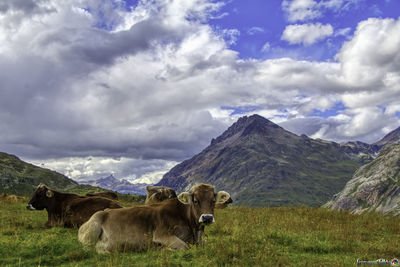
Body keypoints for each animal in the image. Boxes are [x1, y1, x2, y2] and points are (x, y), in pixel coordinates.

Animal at [78, 184, 230, 253]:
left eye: (213, 201)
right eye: (196, 201)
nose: (207, 217)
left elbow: (206, 243)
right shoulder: (162, 234)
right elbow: (184, 246)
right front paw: (163, 249)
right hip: (92, 228)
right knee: (89, 248)